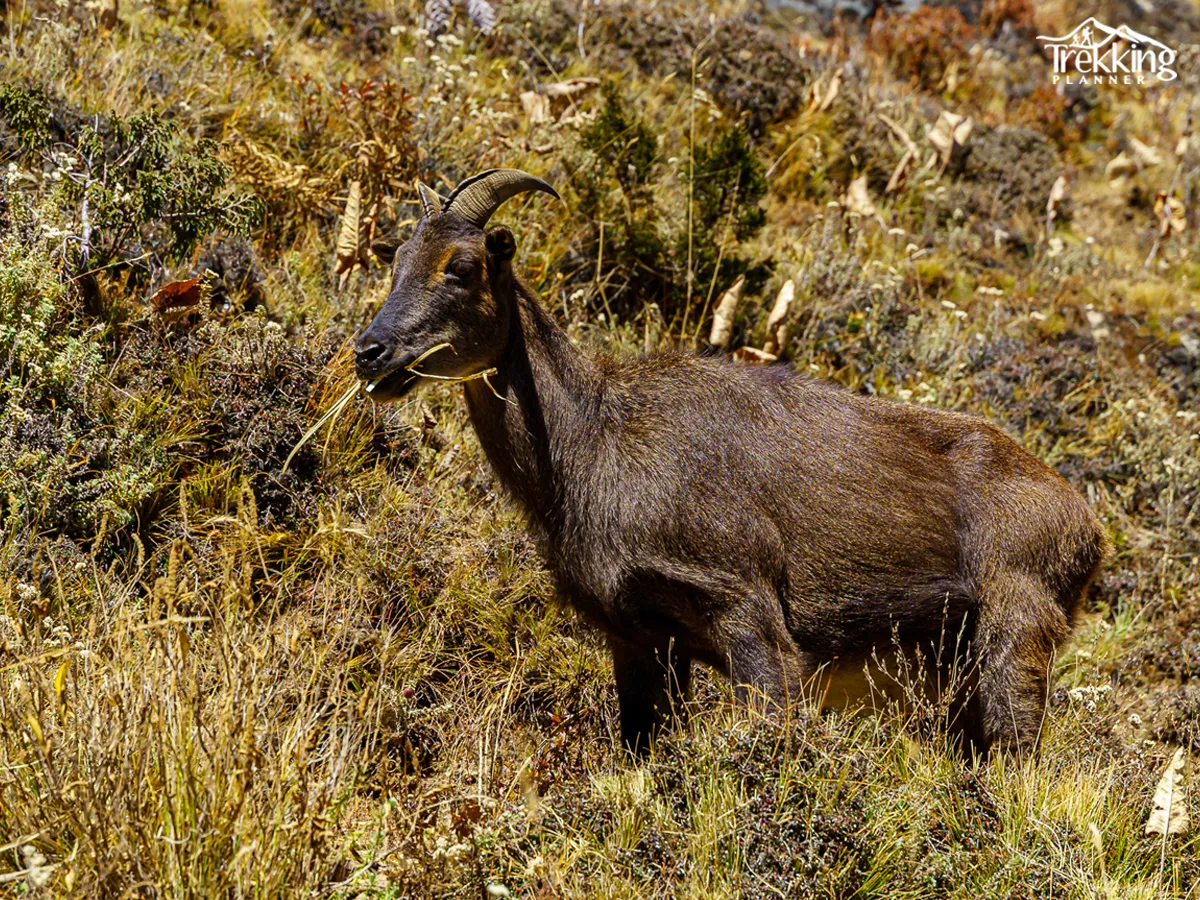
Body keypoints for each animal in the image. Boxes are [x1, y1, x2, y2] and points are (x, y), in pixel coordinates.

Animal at [355, 169, 1109, 757]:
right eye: (396, 262)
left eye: (461, 266)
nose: (372, 353)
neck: (591, 446)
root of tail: (1088, 526)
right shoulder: (639, 640)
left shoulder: (744, 608)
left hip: (1014, 634)